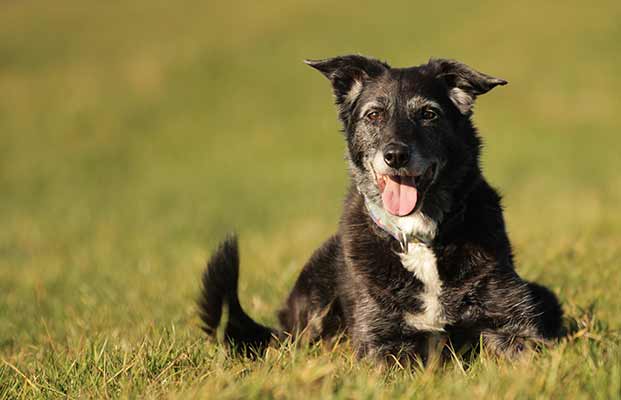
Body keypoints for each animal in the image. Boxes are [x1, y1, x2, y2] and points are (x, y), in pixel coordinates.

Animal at [199, 54, 560, 360]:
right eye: (374, 115)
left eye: (429, 114)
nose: (395, 155)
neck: (417, 237)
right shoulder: (381, 342)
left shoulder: (514, 326)